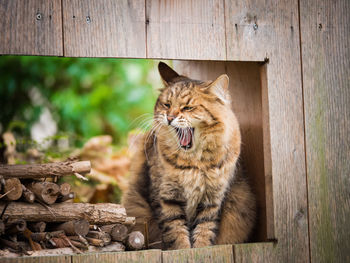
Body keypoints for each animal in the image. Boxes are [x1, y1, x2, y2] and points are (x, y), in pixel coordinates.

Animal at [121, 63, 256, 251]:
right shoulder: (166, 198)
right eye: (167, 104)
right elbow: (176, 231)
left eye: (187, 108)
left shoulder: (212, 200)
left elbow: (204, 230)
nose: (170, 117)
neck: (195, 163)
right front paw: (183, 250)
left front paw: (201, 249)